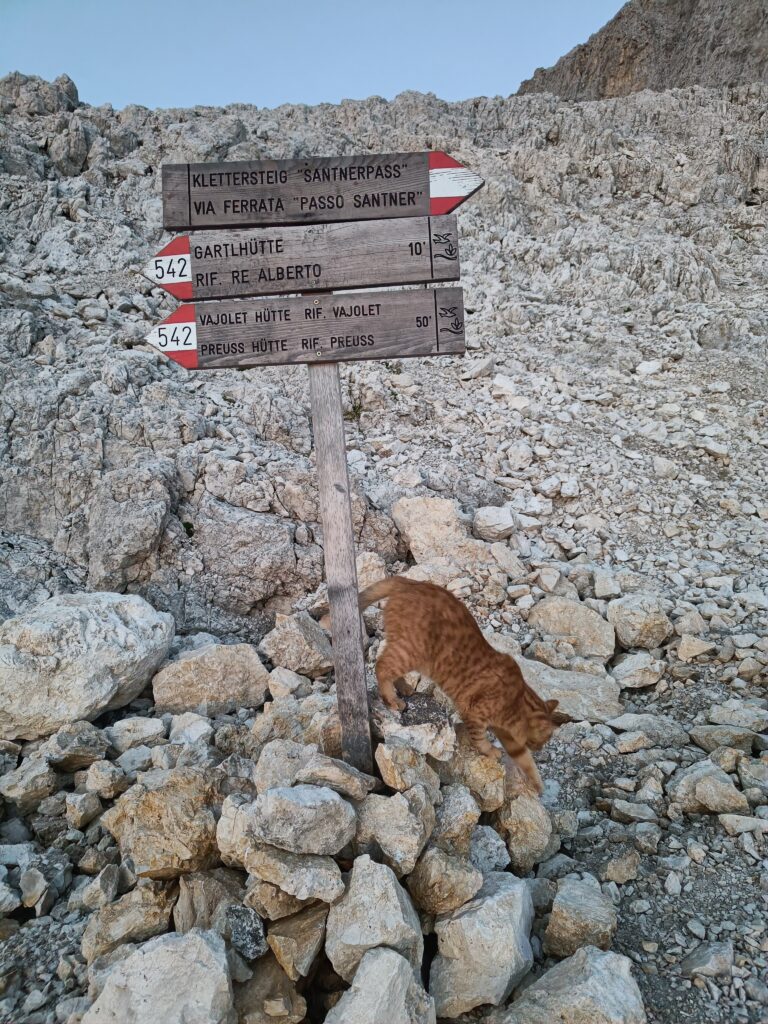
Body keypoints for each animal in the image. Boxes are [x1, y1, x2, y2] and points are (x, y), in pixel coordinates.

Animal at [358, 577, 557, 790]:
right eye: (546, 738)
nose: (540, 749)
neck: (517, 700)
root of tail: (409, 582)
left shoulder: (508, 735)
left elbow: (525, 759)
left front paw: (537, 785)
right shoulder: (475, 714)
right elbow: (479, 738)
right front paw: (489, 750)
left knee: (386, 663)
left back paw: (403, 687)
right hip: (409, 651)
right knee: (381, 665)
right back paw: (392, 698)